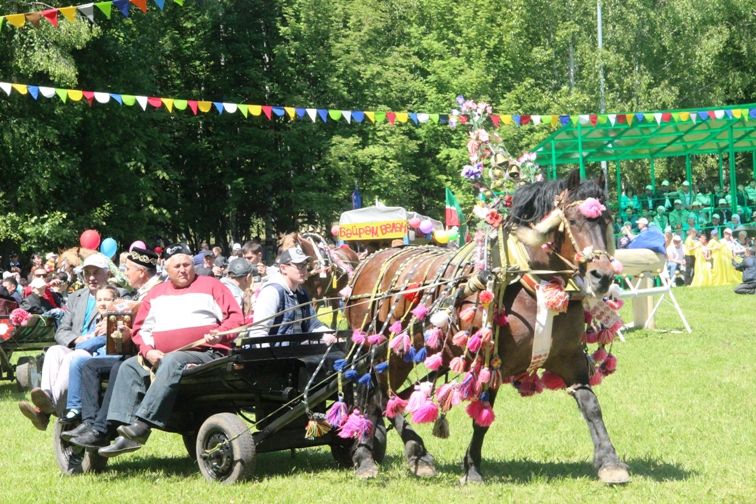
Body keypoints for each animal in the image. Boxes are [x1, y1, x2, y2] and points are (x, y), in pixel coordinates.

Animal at [340, 172, 628, 484]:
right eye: (573, 221)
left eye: (607, 219)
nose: (602, 276)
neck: (532, 283)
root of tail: (369, 260)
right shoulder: (491, 360)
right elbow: (483, 414)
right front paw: (473, 468)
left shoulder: (569, 358)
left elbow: (590, 404)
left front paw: (609, 462)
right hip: (381, 349)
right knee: (380, 395)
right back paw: (382, 456)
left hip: (399, 352)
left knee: (382, 397)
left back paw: (394, 453)